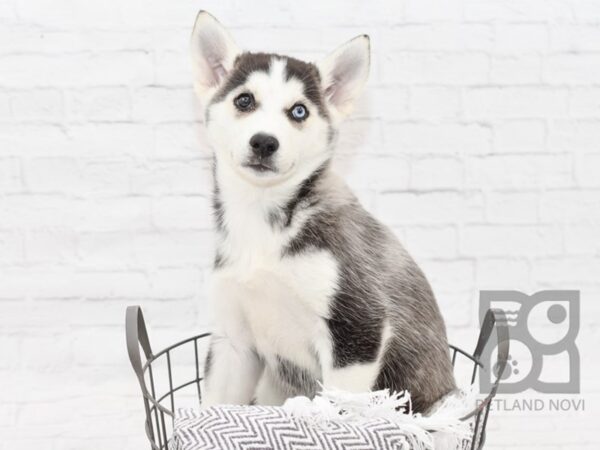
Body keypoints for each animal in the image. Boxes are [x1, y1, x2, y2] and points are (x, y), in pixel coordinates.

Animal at [192, 10, 454, 414]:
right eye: (244, 101)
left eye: (299, 111)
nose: (264, 142)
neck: (263, 224)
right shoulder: (233, 344)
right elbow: (214, 408)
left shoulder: (358, 329)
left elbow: (335, 412)